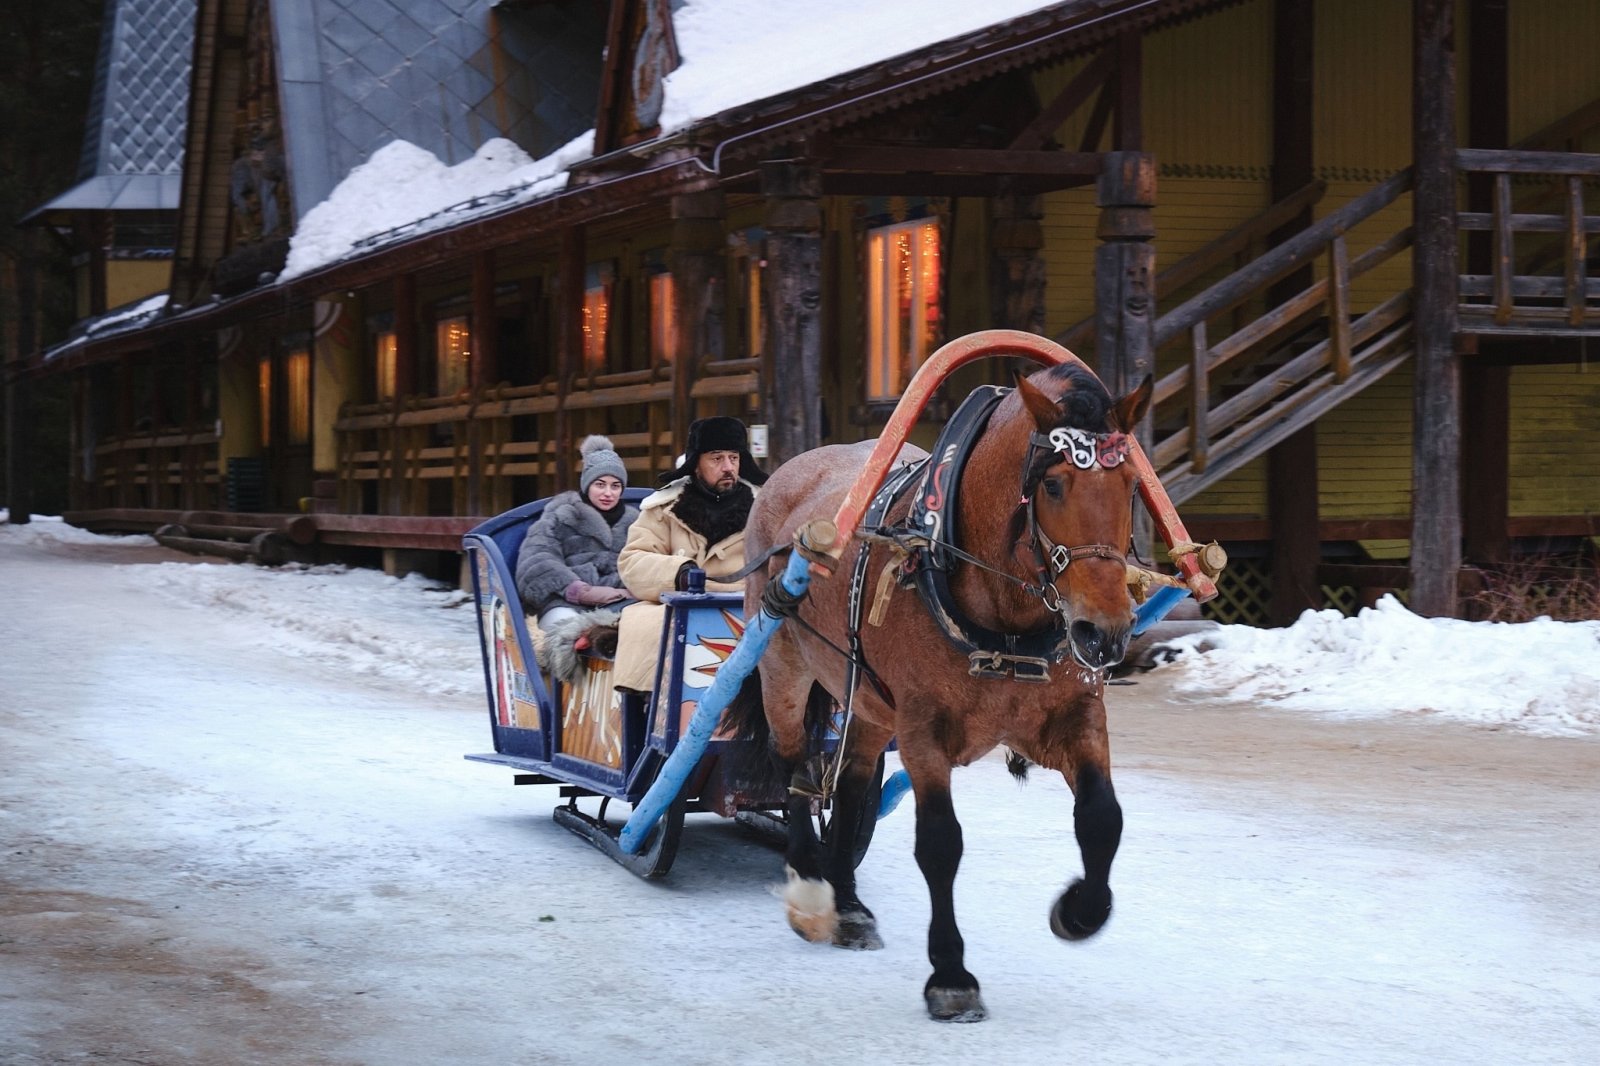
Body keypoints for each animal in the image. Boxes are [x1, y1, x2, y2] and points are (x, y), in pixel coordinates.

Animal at [732, 361, 1158, 1017]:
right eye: (1053, 485)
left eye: (1132, 483)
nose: (1105, 632)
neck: (1006, 615)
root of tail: (787, 471)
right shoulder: (923, 728)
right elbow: (939, 843)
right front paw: (951, 973)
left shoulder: (1076, 714)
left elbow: (1102, 818)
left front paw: (1080, 911)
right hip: (783, 662)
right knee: (794, 768)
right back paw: (809, 888)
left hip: (870, 702)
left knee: (850, 786)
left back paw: (848, 904)